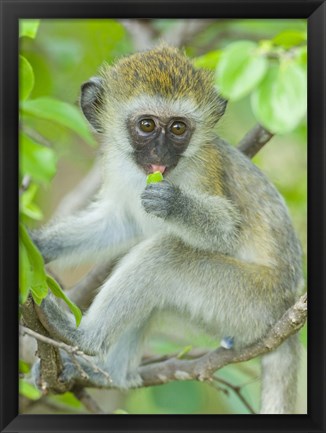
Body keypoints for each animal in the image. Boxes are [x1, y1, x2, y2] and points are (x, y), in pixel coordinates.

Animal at [32, 45, 304, 414]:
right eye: (147, 125)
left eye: (178, 128)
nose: (160, 152)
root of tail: (285, 307)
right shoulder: (117, 166)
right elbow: (120, 223)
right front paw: (37, 244)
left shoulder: (204, 168)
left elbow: (226, 229)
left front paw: (175, 204)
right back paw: (108, 371)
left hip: (250, 303)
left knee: (166, 254)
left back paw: (84, 340)